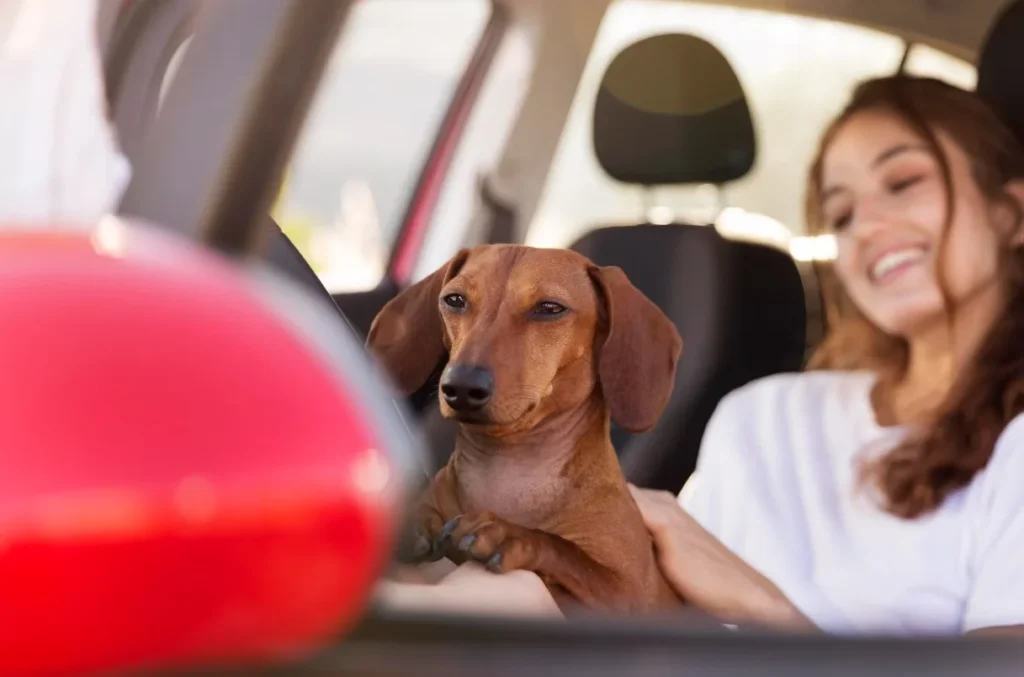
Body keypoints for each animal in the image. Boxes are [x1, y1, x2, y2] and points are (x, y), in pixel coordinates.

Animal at [366, 243, 679, 614]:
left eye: (550, 308)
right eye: (454, 300)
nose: (461, 387)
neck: (508, 473)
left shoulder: (628, 592)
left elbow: (564, 551)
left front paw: (509, 534)